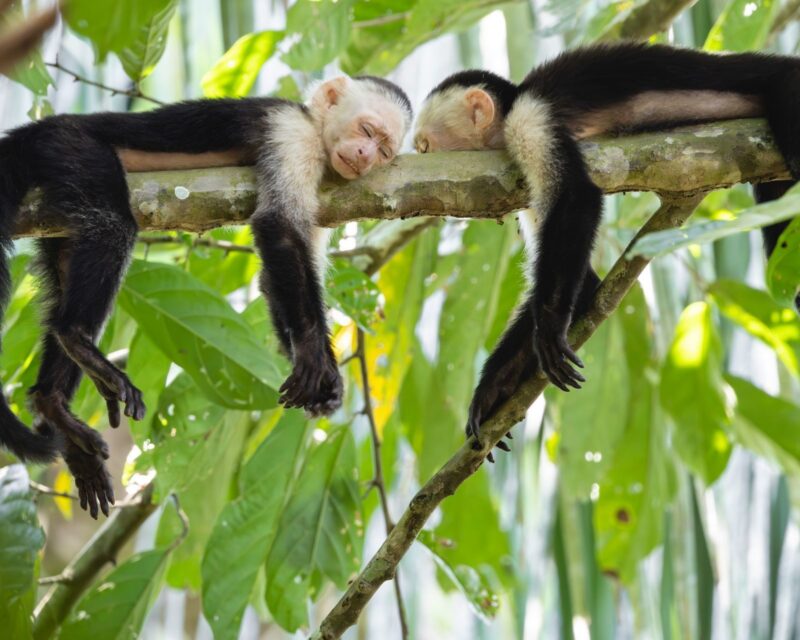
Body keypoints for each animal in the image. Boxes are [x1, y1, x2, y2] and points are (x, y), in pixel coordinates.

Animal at [0, 75, 412, 517]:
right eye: (366, 130)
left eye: (384, 150)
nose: (366, 157)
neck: (315, 130)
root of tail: (36, 129)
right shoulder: (291, 134)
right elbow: (279, 226)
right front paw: (311, 353)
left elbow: (276, 278)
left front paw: (326, 376)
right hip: (69, 147)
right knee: (111, 223)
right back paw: (76, 337)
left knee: (65, 268)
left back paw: (54, 406)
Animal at [413, 42, 800, 454]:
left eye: (425, 147)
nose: (419, 161)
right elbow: (583, 281)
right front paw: (493, 389)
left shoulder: (530, 120)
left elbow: (577, 197)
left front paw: (549, 330)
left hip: (788, 85)